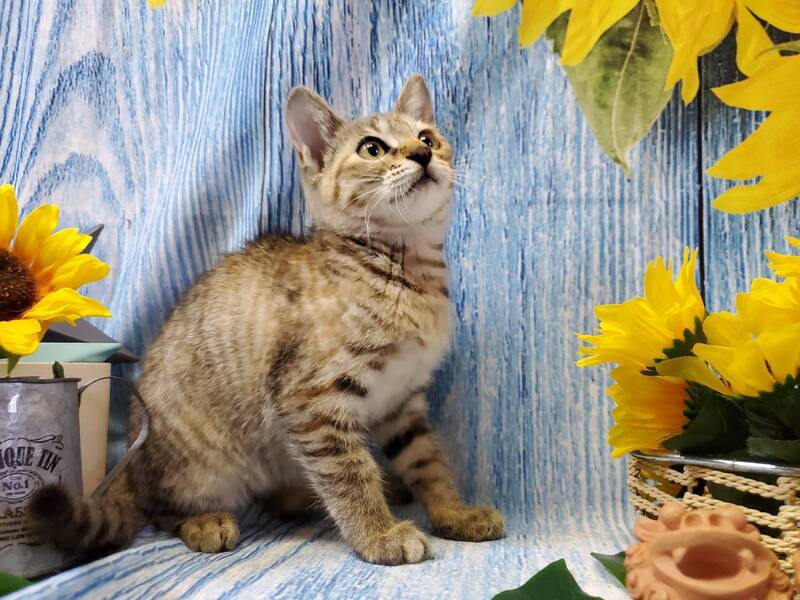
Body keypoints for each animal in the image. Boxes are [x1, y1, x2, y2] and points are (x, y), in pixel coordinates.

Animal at [28, 75, 505, 565]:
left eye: (428, 138)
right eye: (372, 148)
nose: (422, 154)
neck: (410, 276)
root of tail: (131, 459)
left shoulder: (403, 399)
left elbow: (428, 461)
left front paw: (454, 513)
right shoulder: (310, 400)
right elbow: (350, 474)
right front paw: (379, 534)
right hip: (200, 466)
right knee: (155, 508)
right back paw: (204, 522)